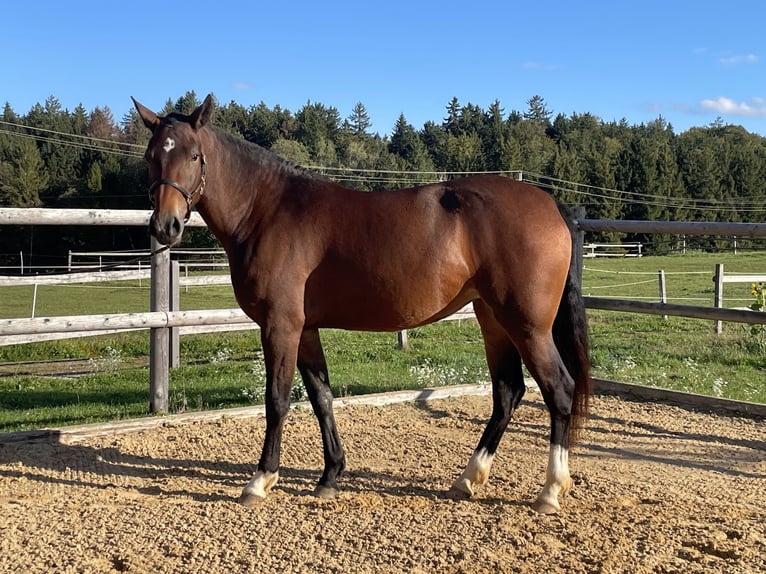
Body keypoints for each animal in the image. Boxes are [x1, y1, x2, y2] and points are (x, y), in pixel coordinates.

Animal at [133, 94, 591, 514]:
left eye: (194, 155)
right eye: (152, 156)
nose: (165, 226)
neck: (267, 210)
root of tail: (552, 204)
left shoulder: (280, 326)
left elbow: (277, 399)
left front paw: (260, 480)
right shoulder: (306, 329)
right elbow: (321, 397)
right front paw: (330, 476)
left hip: (528, 325)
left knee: (559, 390)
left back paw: (550, 490)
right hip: (493, 319)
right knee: (508, 392)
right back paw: (468, 478)